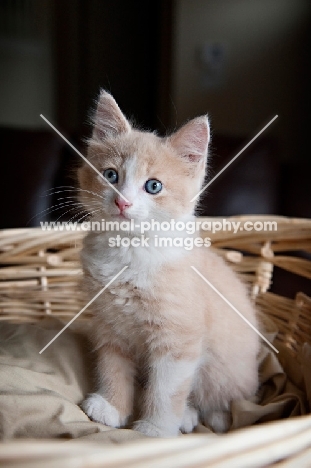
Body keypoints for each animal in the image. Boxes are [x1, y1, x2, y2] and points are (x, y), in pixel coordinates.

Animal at [79, 89, 260, 436]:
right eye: (111, 175)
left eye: (153, 186)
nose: (122, 202)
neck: (130, 251)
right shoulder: (108, 325)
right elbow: (112, 366)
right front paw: (112, 407)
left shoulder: (179, 339)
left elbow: (166, 388)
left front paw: (155, 429)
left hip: (226, 371)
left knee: (222, 401)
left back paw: (202, 416)